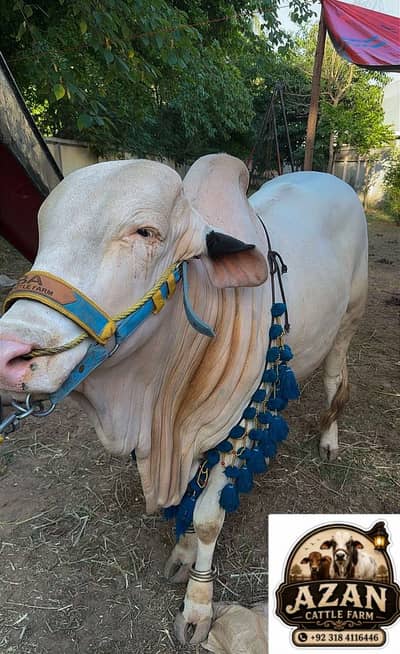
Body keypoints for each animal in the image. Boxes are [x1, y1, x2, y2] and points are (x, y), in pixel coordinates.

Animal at [0, 154, 368, 643]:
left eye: (145, 232)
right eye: (44, 230)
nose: (9, 353)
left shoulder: (237, 428)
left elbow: (209, 516)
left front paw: (197, 605)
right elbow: (189, 503)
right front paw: (183, 552)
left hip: (350, 319)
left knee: (335, 379)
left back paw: (328, 438)